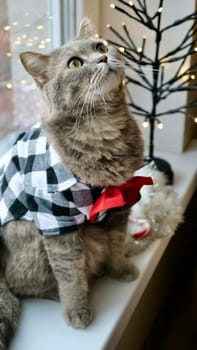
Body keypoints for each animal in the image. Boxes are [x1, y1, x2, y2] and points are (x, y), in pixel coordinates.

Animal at [0, 17, 145, 348]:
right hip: (30, 241)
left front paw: (121, 269)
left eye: (101, 46)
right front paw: (77, 311)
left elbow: (117, 244)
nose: (103, 58)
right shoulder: (55, 221)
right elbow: (70, 275)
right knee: (20, 282)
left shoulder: (121, 203)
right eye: (75, 63)